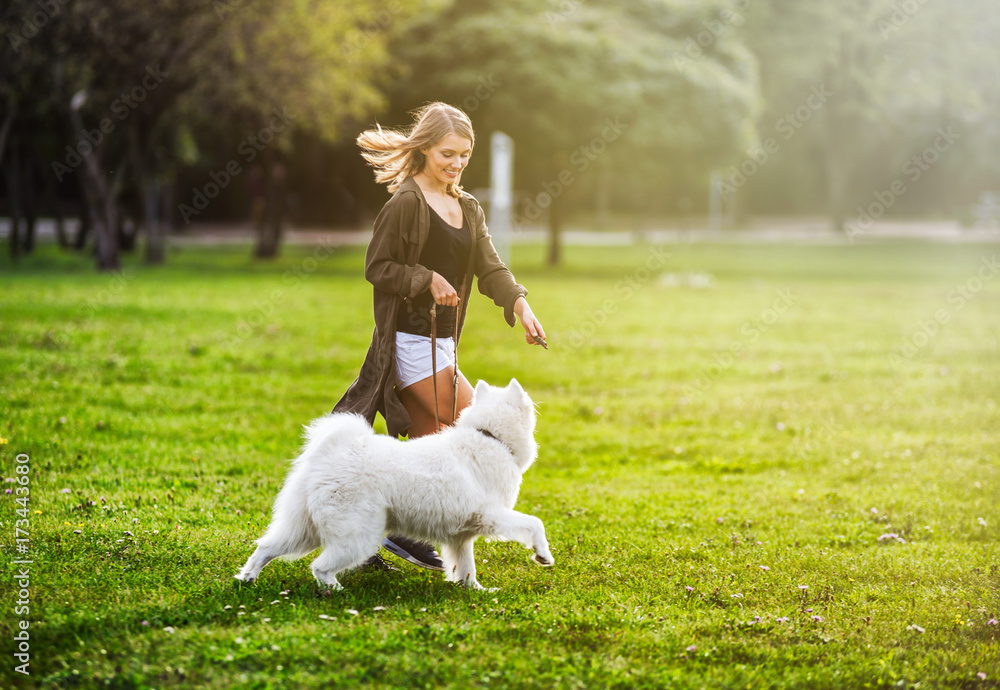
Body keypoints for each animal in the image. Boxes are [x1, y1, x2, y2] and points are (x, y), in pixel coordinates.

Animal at [238, 378, 560, 588]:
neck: (490, 436)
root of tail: (333, 451)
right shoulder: (491, 514)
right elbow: (535, 523)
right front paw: (543, 556)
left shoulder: (462, 536)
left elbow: (466, 568)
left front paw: (476, 592)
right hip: (357, 537)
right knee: (319, 567)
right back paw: (336, 591)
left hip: (304, 530)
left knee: (266, 548)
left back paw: (246, 578)